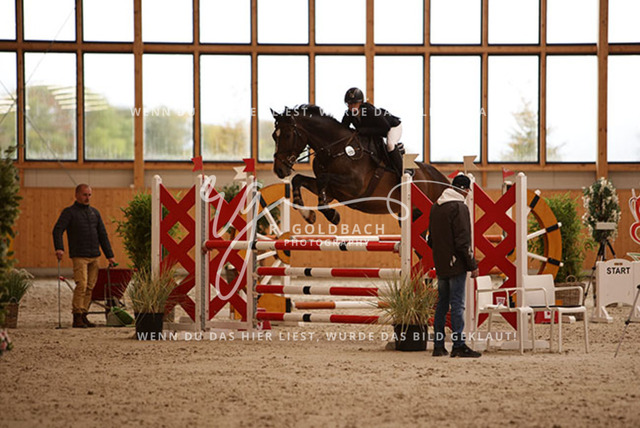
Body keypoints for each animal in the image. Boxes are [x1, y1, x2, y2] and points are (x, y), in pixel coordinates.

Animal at [271, 104, 450, 225]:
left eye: (287, 135)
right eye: (274, 136)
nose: (279, 169)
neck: (335, 149)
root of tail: (444, 180)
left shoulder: (354, 186)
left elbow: (323, 180)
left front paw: (331, 215)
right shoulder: (332, 191)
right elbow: (298, 179)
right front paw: (307, 214)